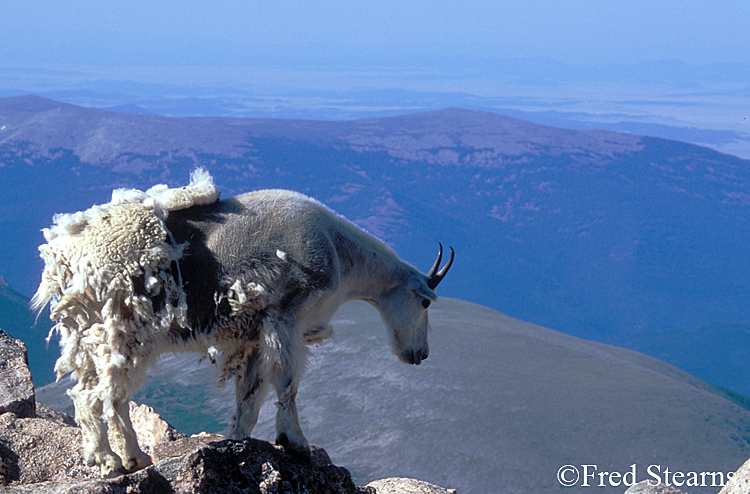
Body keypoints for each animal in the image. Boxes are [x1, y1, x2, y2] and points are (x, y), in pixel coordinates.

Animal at [32, 170, 454, 477]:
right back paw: (116, 462)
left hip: (92, 332)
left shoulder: (253, 336)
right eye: (423, 301)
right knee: (101, 395)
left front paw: (235, 442)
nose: (420, 354)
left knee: (91, 393)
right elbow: (288, 384)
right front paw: (296, 443)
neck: (340, 253)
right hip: (124, 329)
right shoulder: (284, 319)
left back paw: (120, 459)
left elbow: (249, 398)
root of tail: (63, 254)